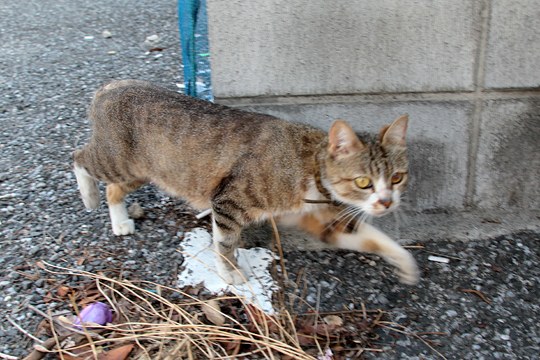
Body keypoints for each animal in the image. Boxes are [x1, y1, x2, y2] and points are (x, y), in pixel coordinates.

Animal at [73, 80, 418, 286]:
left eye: (397, 177)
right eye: (363, 182)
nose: (386, 202)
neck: (310, 170)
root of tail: (113, 86)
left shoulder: (319, 220)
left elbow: (373, 239)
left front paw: (406, 264)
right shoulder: (228, 199)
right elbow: (225, 241)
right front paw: (231, 271)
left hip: (143, 171)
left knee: (114, 187)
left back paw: (120, 220)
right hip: (118, 160)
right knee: (79, 158)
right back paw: (89, 196)